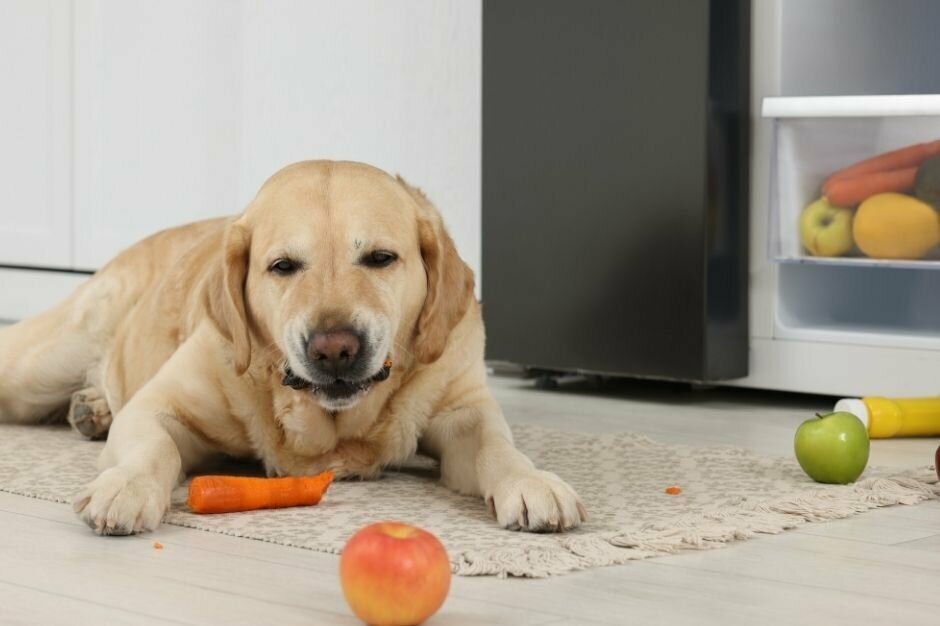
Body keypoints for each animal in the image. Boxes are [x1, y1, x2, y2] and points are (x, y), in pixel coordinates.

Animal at [0, 160, 584, 532]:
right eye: (282, 266)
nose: (335, 349)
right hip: (42, 364)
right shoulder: (158, 405)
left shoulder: (463, 410)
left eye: (380, 258)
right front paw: (127, 488)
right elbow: (154, 447)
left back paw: (92, 408)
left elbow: (496, 445)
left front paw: (532, 482)